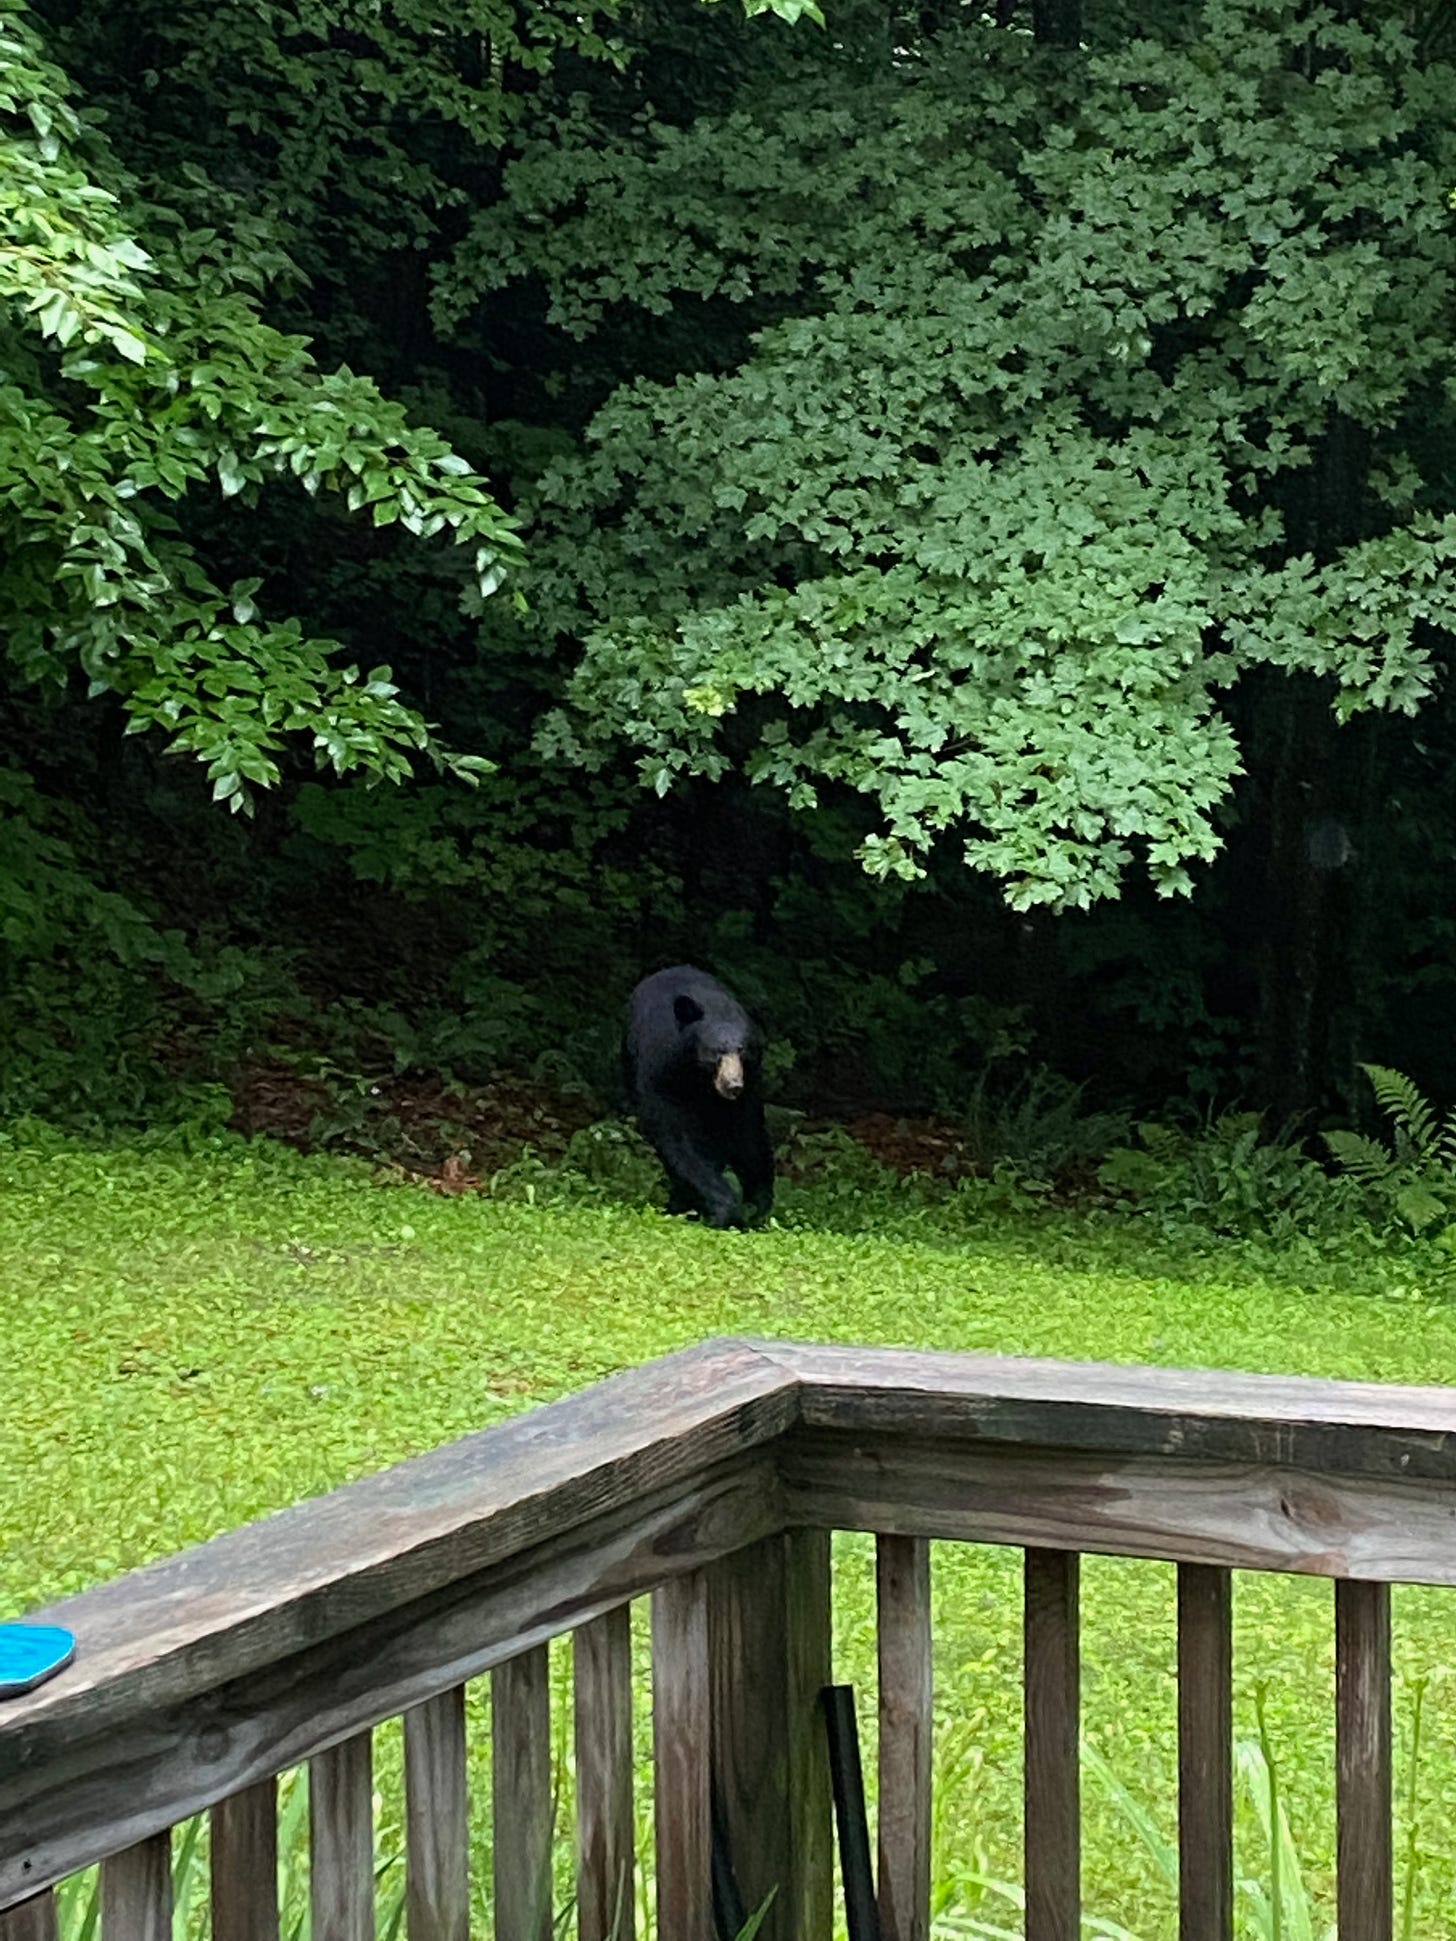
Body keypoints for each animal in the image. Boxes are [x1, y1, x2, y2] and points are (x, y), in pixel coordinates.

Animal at [628, 962, 776, 1218]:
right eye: (716, 1052)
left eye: (742, 1050)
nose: (733, 1085)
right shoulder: (660, 1072)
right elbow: (677, 1137)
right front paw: (723, 1205)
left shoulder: (750, 1084)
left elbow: (749, 1133)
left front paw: (758, 1203)